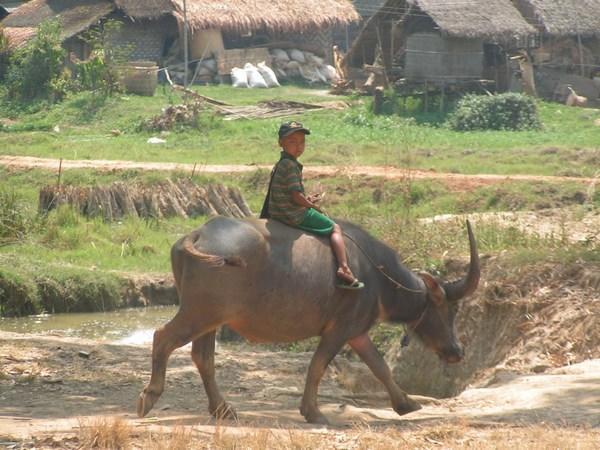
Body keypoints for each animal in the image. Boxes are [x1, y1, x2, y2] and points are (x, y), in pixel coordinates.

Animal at [136, 216, 478, 424]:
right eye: (450, 310)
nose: (457, 351)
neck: (377, 277)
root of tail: (198, 234)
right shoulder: (339, 329)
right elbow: (318, 366)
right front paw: (313, 412)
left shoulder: (357, 332)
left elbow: (379, 367)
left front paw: (406, 403)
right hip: (198, 313)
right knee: (162, 337)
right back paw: (148, 399)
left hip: (210, 318)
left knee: (202, 356)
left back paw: (223, 409)